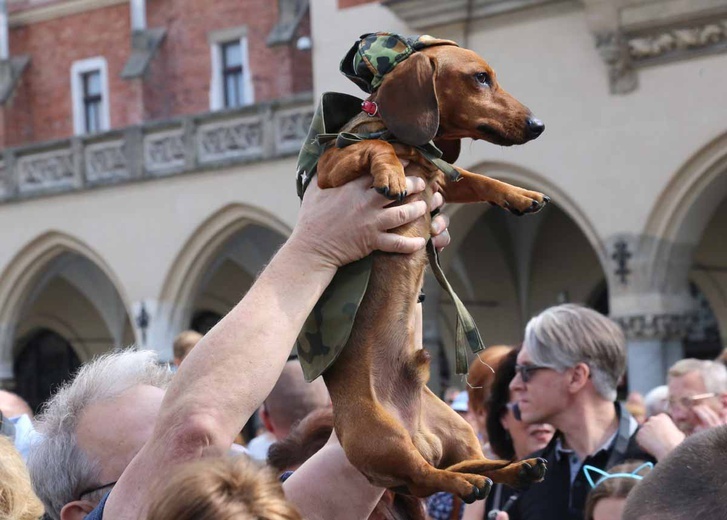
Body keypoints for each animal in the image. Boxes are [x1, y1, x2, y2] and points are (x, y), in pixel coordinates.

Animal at [312, 37, 544, 504]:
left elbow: (476, 178)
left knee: (469, 464)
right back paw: (466, 483)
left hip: (458, 427)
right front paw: (391, 174)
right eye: (480, 78)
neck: (413, 147)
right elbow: (375, 149)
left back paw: (520, 469)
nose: (538, 125)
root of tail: (417, 433)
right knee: (428, 476)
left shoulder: (443, 179)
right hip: (380, 437)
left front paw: (519, 194)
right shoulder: (332, 171)